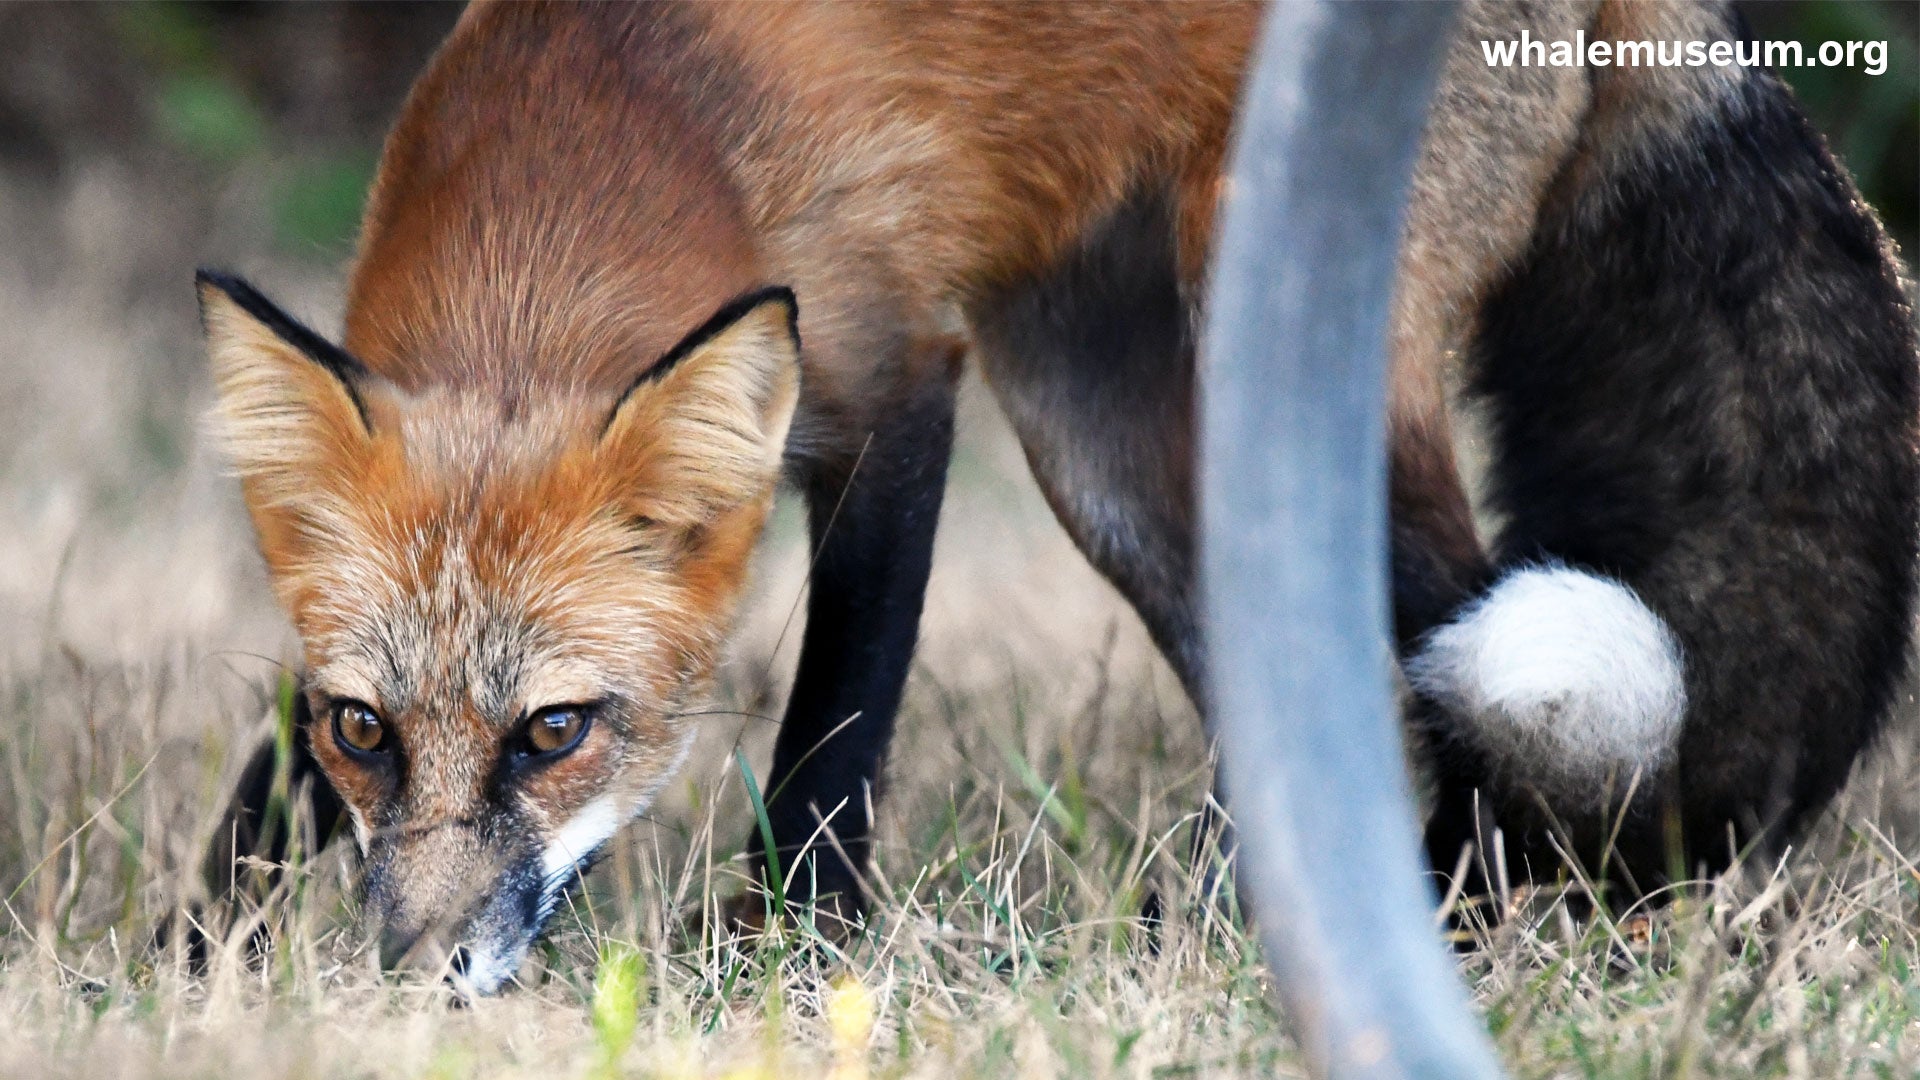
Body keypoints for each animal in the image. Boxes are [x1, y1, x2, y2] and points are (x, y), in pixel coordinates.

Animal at [194, 0, 1917, 993]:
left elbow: (831, 748)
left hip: (1298, 353)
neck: (639, 124)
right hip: (1116, 456)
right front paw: (195, 962)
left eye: (559, 732)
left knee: (1470, 653)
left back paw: (1468, 920)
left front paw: (793, 972)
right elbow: (263, 795)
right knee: (1284, 686)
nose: (415, 975)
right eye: (367, 730)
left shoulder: (897, 386)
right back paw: (1244, 928)